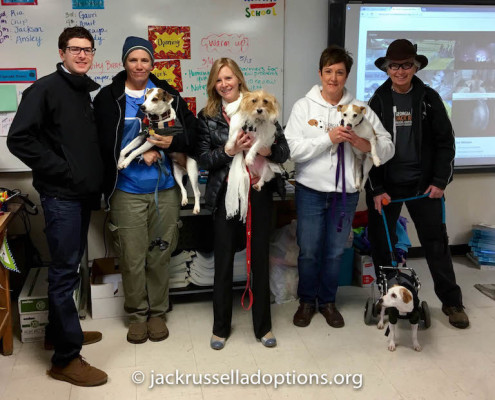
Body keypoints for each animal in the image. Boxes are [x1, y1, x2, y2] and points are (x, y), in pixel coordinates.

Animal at [117, 86, 201, 214]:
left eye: (155, 99)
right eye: (145, 97)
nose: (142, 107)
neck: (157, 120)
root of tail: (185, 169)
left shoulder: (152, 141)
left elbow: (135, 151)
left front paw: (125, 162)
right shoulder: (142, 136)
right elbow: (125, 149)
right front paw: (120, 161)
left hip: (192, 172)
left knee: (197, 192)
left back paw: (196, 207)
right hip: (176, 173)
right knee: (183, 188)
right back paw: (184, 200)